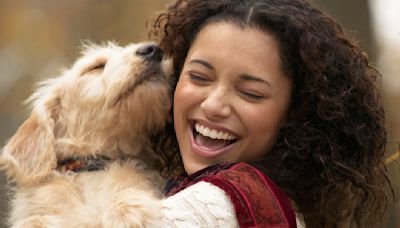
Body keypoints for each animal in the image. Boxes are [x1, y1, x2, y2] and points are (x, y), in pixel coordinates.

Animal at [0, 41, 172, 228]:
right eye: (96, 67)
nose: (153, 49)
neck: (91, 169)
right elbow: (36, 217)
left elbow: (126, 181)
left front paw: (127, 212)